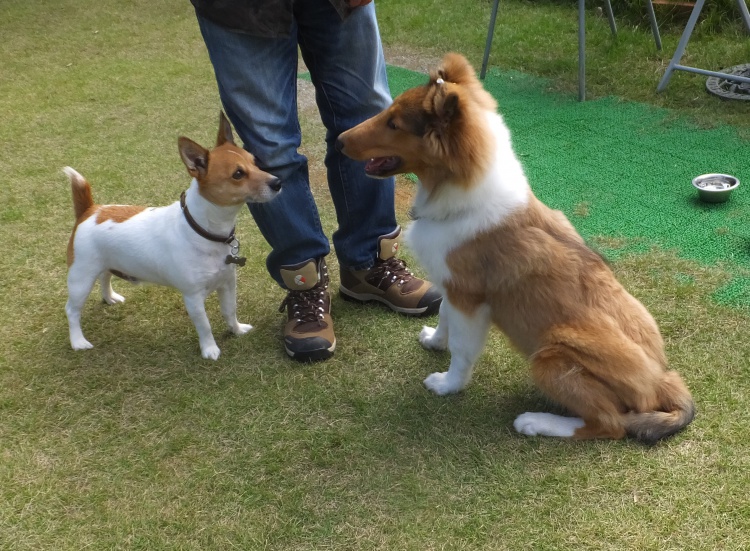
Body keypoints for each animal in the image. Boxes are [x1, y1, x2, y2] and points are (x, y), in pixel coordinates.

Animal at [64, 112, 280, 360]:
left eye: (255, 162)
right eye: (238, 174)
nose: (277, 182)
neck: (202, 229)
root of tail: (90, 210)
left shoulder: (227, 283)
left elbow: (229, 310)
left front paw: (236, 330)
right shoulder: (193, 297)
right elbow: (205, 325)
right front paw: (210, 349)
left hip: (105, 263)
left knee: (105, 276)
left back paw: (109, 297)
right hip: (81, 278)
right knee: (71, 310)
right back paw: (77, 340)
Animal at [336, 53, 695, 443]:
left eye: (395, 123)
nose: (338, 140)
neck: (462, 196)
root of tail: (662, 382)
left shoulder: (468, 298)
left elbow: (462, 348)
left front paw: (447, 385)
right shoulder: (451, 287)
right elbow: (443, 316)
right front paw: (434, 341)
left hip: (550, 355)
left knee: (609, 424)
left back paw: (535, 421)